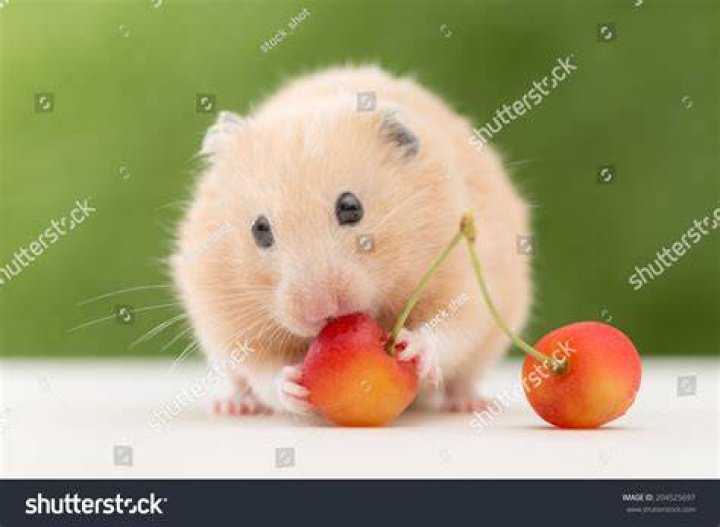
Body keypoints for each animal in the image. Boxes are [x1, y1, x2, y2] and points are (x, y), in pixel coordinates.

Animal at [172, 65, 531, 416]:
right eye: (259, 229)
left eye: (350, 207)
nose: (321, 311)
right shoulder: (230, 323)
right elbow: (261, 370)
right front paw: (293, 385)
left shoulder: (464, 281)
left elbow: (451, 327)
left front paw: (411, 347)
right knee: (242, 382)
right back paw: (235, 407)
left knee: (464, 375)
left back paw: (470, 404)